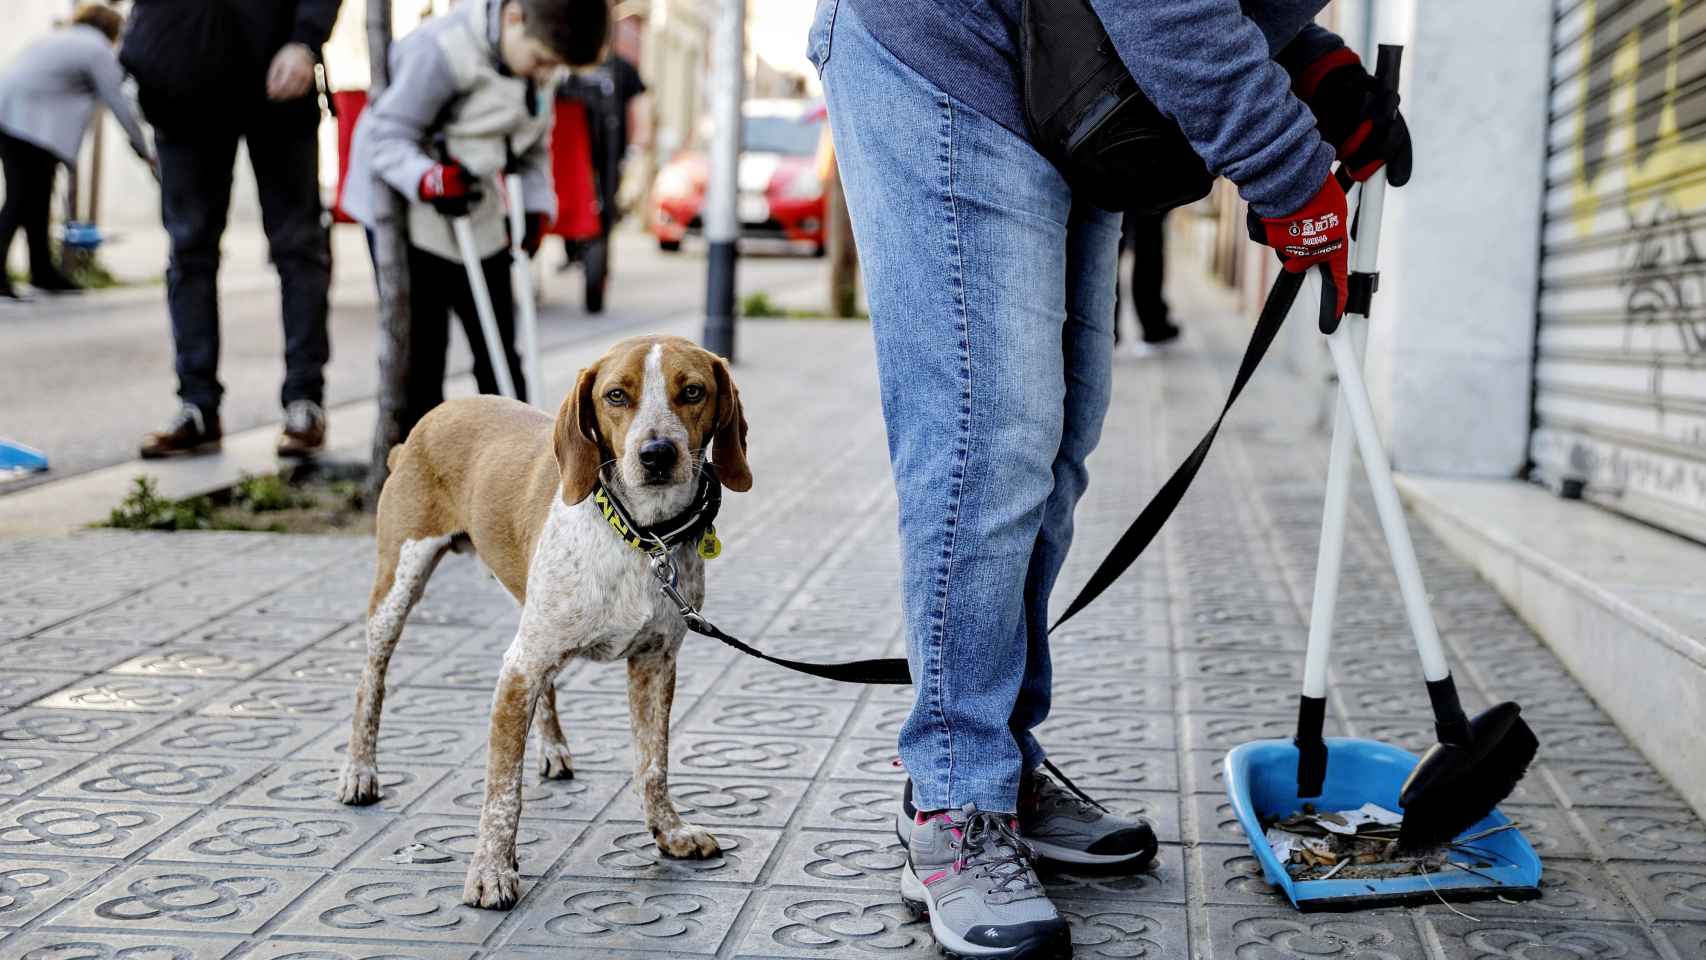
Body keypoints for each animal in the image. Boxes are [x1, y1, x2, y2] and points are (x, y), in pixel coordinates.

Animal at [336, 335, 750, 907]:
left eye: (692, 391)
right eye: (616, 395)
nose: (656, 454)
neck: (640, 537)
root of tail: (432, 416)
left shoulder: (655, 662)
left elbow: (652, 764)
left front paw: (669, 832)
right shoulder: (519, 671)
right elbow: (502, 791)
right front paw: (490, 870)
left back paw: (553, 748)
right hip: (400, 583)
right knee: (370, 680)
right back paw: (360, 771)